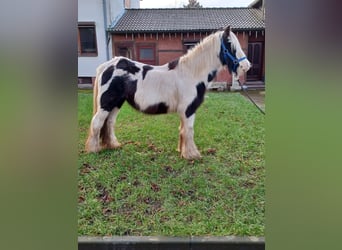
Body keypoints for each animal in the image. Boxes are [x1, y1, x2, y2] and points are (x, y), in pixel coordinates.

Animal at [85, 25, 251, 160]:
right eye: (230, 45)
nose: (246, 66)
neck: (191, 73)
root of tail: (107, 65)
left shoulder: (184, 111)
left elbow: (182, 130)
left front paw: (182, 151)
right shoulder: (189, 110)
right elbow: (189, 131)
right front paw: (192, 155)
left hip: (116, 103)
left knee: (109, 123)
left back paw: (113, 145)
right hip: (106, 104)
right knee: (97, 123)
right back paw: (93, 149)